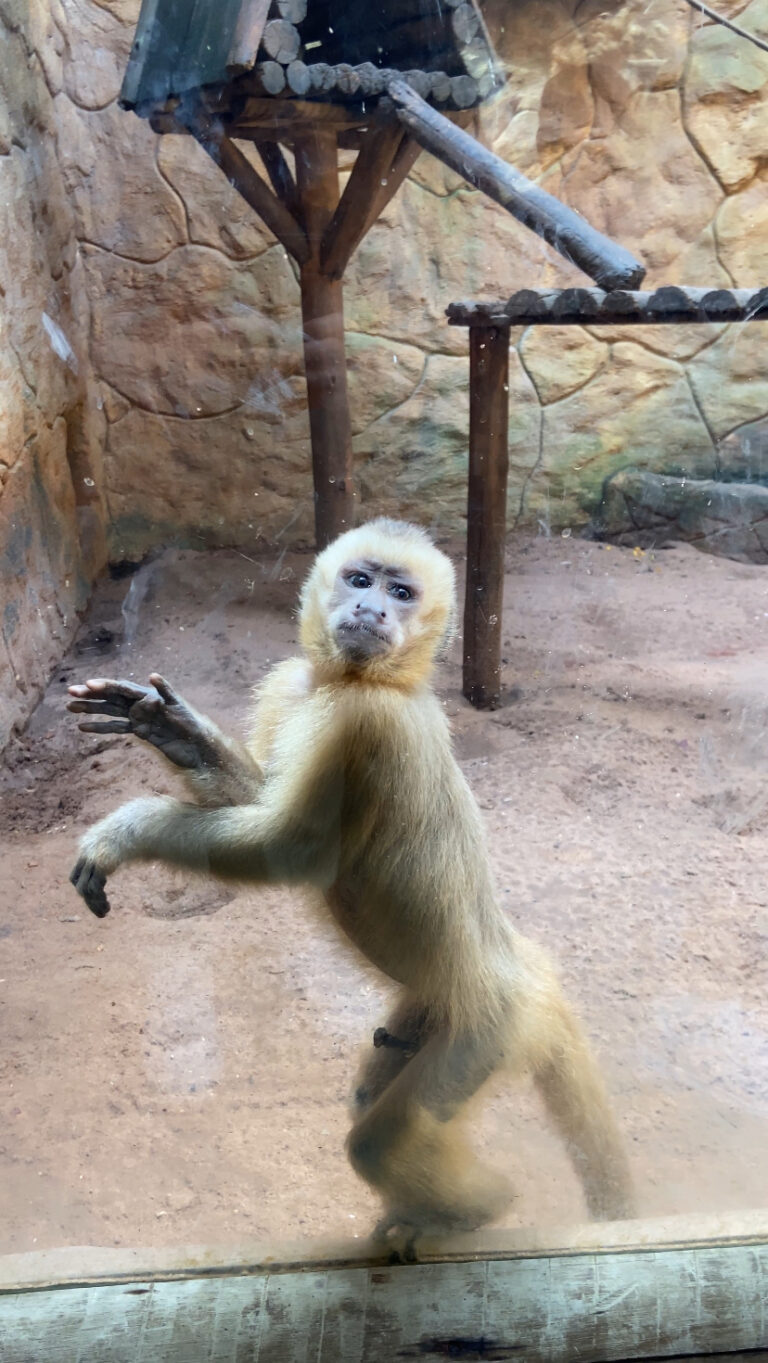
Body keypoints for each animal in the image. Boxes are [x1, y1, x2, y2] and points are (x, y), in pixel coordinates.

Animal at [67, 518, 634, 1252]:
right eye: (360, 581)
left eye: (401, 593)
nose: (372, 610)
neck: (359, 681)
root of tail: (527, 966)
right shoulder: (292, 684)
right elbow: (260, 800)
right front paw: (173, 731)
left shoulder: (366, 721)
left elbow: (291, 852)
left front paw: (127, 830)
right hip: (440, 1010)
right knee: (377, 1091)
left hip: (492, 1030)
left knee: (383, 1138)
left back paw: (474, 1212)